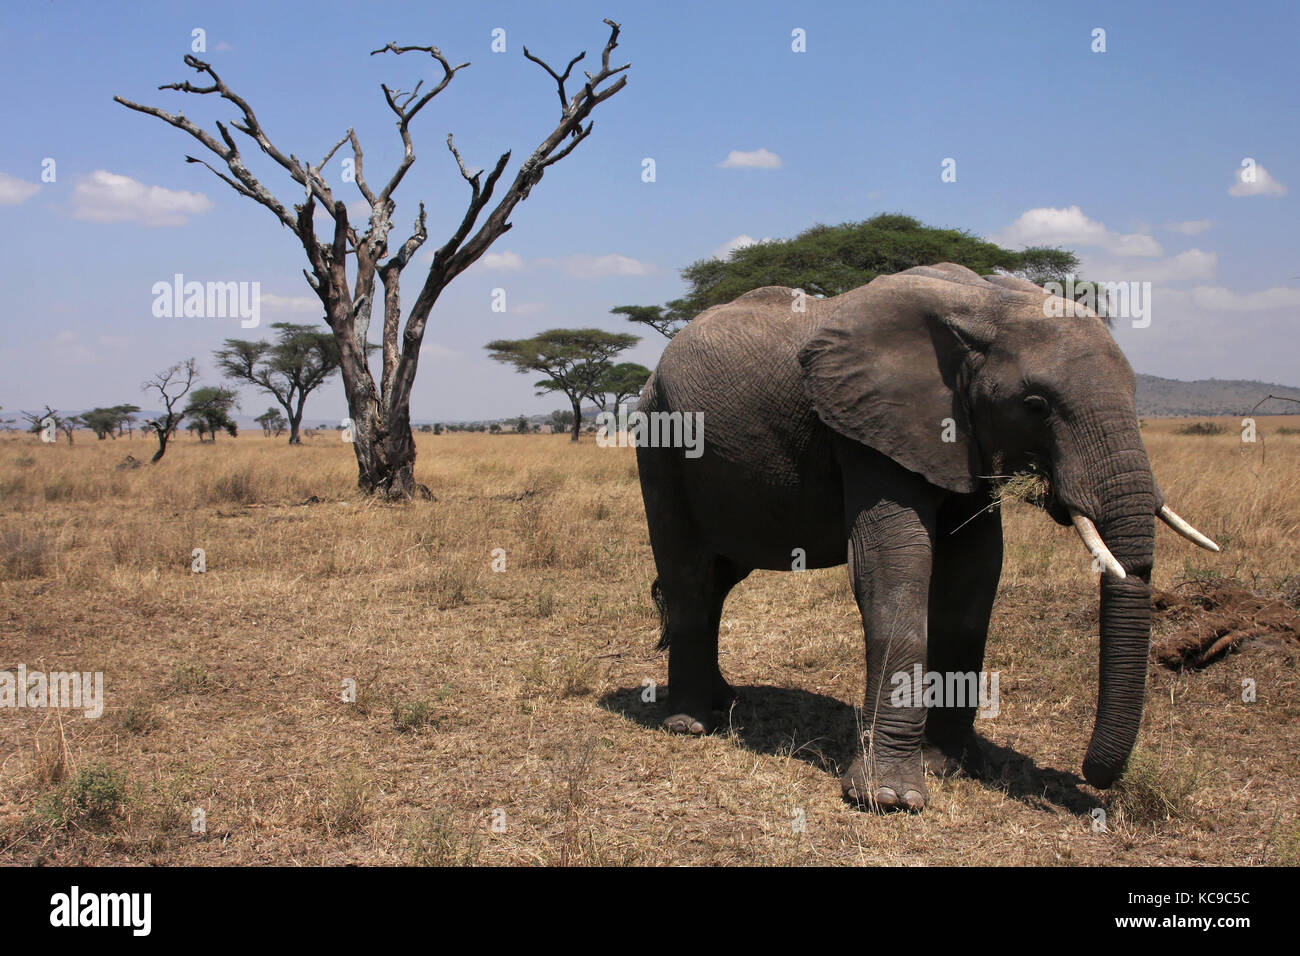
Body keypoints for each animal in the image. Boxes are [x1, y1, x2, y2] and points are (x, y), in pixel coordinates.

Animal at [634, 264, 1211, 816]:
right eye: (1035, 404)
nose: (1093, 776)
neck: (988, 304)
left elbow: (975, 570)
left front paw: (950, 765)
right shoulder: (870, 429)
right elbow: (896, 564)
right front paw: (889, 797)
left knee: (719, 578)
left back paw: (722, 699)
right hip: (660, 440)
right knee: (688, 573)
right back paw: (689, 723)